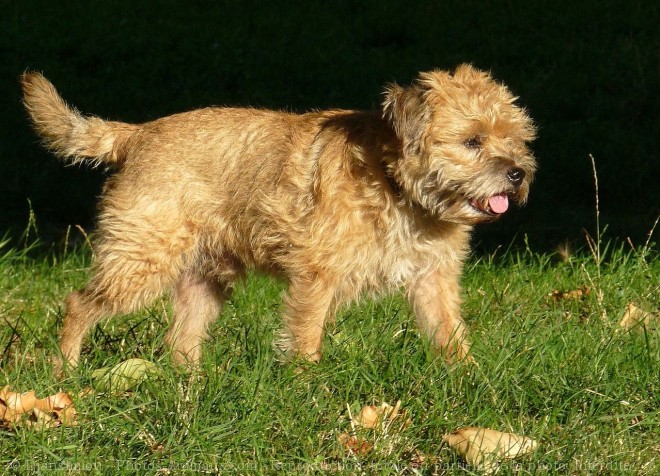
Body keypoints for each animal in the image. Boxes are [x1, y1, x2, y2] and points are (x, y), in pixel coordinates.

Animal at [20, 64, 536, 372]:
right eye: (472, 141)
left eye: (517, 139)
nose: (517, 172)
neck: (396, 188)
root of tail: (138, 134)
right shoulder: (316, 277)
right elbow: (306, 336)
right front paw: (308, 387)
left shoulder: (434, 280)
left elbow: (451, 334)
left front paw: (469, 382)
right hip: (141, 262)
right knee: (79, 303)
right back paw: (65, 370)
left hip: (202, 281)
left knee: (180, 340)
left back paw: (191, 386)